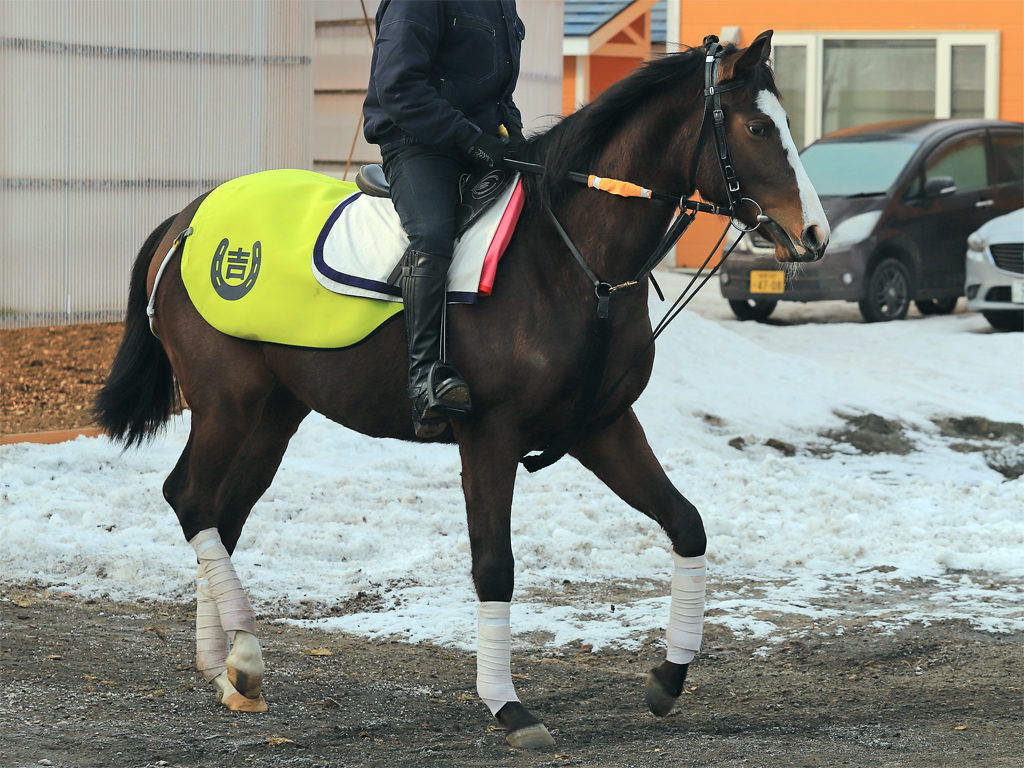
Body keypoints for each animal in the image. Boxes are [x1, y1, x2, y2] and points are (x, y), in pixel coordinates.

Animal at [94, 33, 831, 749]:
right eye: (759, 127)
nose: (815, 234)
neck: (570, 261)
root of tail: (185, 219)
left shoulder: (606, 428)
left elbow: (686, 525)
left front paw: (669, 677)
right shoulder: (489, 437)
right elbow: (495, 566)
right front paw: (508, 706)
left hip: (276, 412)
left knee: (223, 514)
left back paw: (226, 671)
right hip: (228, 403)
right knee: (190, 498)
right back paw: (244, 655)